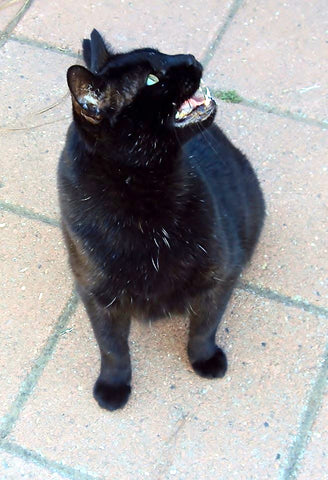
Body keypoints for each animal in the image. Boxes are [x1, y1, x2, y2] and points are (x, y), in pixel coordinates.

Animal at [57, 30, 266, 410]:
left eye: (164, 54)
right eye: (152, 80)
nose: (191, 57)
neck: (146, 196)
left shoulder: (221, 273)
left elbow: (204, 326)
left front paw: (205, 359)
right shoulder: (96, 295)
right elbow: (111, 348)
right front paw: (113, 386)